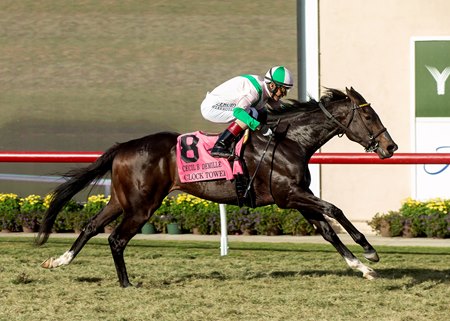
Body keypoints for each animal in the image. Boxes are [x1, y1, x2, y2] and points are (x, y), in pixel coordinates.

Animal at [37, 86, 398, 286]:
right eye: (369, 117)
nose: (390, 147)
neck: (289, 141)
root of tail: (123, 147)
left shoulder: (298, 198)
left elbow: (327, 231)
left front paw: (362, 268)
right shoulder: (291, 196)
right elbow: (335, 210)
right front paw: (370, 250)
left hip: (122, 200)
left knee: (90, 227)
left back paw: (60, 261)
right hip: (142, 206)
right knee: (116, 239)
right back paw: (126, 283)